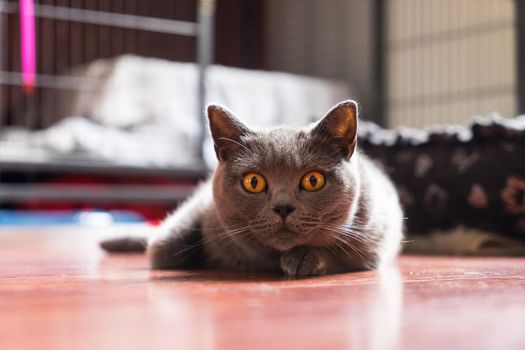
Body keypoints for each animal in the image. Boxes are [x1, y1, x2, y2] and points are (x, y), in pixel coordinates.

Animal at [100, 101, 404, 276]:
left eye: (313, 180)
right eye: (254, 182)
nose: (283, 207)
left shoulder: (376, 238)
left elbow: (345, 252)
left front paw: (304, 258)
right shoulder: (202, 208)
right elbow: (164, 248)